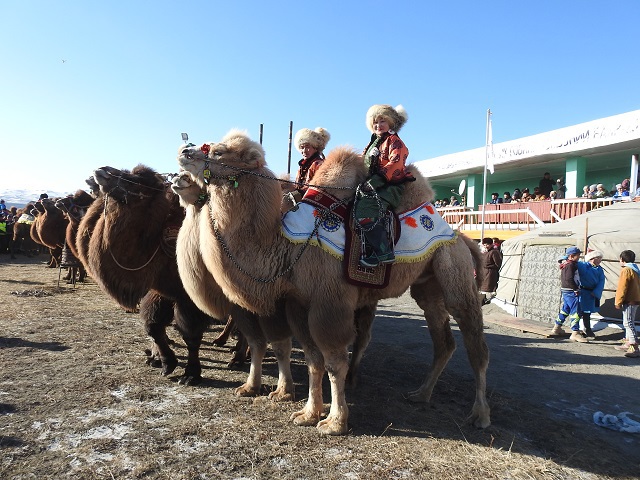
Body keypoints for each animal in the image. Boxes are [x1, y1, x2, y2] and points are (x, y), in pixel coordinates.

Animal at [74, 166, 215, 386]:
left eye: (138, 180)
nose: (102, 171)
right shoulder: (161, 289)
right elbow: (153, 326)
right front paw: (166, 362)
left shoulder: (189, 295)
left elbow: (190, 334)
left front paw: (191, 374)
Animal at [176, 131, 490, 436]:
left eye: (218, 151)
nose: (184, 153)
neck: (285, 244)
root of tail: (462, 237)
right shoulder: (298, 303)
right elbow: (313, 359)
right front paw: (307, 413)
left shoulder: (329, 303)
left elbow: (334, 362)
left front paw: (335, 423)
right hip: (428, 287)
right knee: (444, 341)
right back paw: (421, 394)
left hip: (454, 270)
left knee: (474, 342)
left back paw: (479, 415)